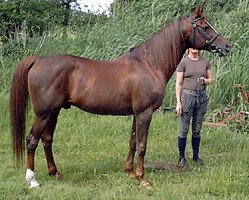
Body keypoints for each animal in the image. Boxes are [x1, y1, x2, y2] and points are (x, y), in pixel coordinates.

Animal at [10, 5, 231, 188]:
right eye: (204, 26)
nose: (227, 46)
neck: (149, 64)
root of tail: (38, 60)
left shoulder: (136, 113)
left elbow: (133, 141)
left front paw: (130, 172)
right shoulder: (144, 113)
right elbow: (142, 145)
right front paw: (142, 179)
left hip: (54, 112)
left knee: (47, 140)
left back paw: (55, 173)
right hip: (43, 113)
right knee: (32, 140)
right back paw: (32, 180)